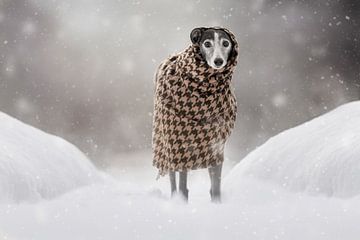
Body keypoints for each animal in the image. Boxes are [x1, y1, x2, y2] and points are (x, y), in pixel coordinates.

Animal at [152, 26, 239, 202]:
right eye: (207, 43)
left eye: (226, 43)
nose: (218, 61)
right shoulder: (180, 148)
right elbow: (182, 185)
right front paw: (181, 203)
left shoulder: (216, 146)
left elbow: (215, 186)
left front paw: (217, 204)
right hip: (167, 144)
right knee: (173, 178)